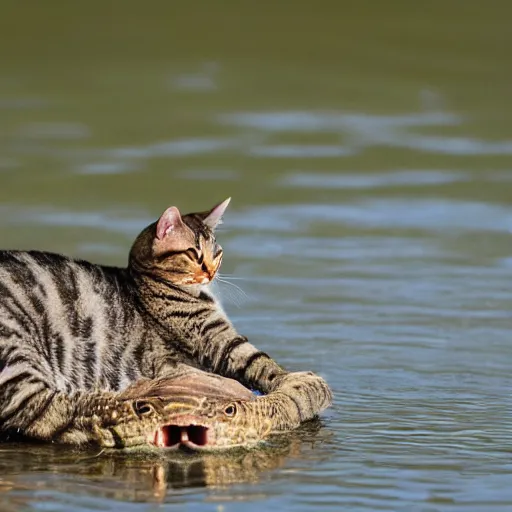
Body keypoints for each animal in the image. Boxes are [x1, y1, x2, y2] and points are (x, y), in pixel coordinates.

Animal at [0, 198, 332, 442]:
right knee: (44, 413)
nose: (211, 271)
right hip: (17, 350)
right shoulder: (217, 339)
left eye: (218, 253)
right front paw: (298, 384)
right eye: (193, 253)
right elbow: (261, 362)